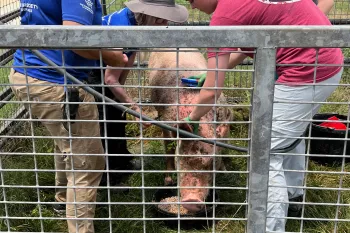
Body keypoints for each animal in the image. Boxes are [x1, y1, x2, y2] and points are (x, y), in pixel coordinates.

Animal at [148, 48, 232, 212]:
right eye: (181, 159)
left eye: (211, 162)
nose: (192, 201)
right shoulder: (167, 121)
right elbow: (169, 148)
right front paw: (168, 181)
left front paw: (225, 172)